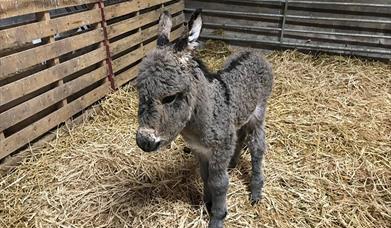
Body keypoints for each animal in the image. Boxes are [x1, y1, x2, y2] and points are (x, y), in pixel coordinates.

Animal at [136, 9, 274, 228]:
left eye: (170, 97)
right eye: (139, 92)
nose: (144, 142)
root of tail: (252, 51)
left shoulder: (218, 150)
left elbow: (219, 184)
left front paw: (217, 217)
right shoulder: (199, 150)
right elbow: (204, 176)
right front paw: (207, 203)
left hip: (258, 113)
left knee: (257, 147)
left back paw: (256, 192)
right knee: (239, 136)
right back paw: (233, 164)